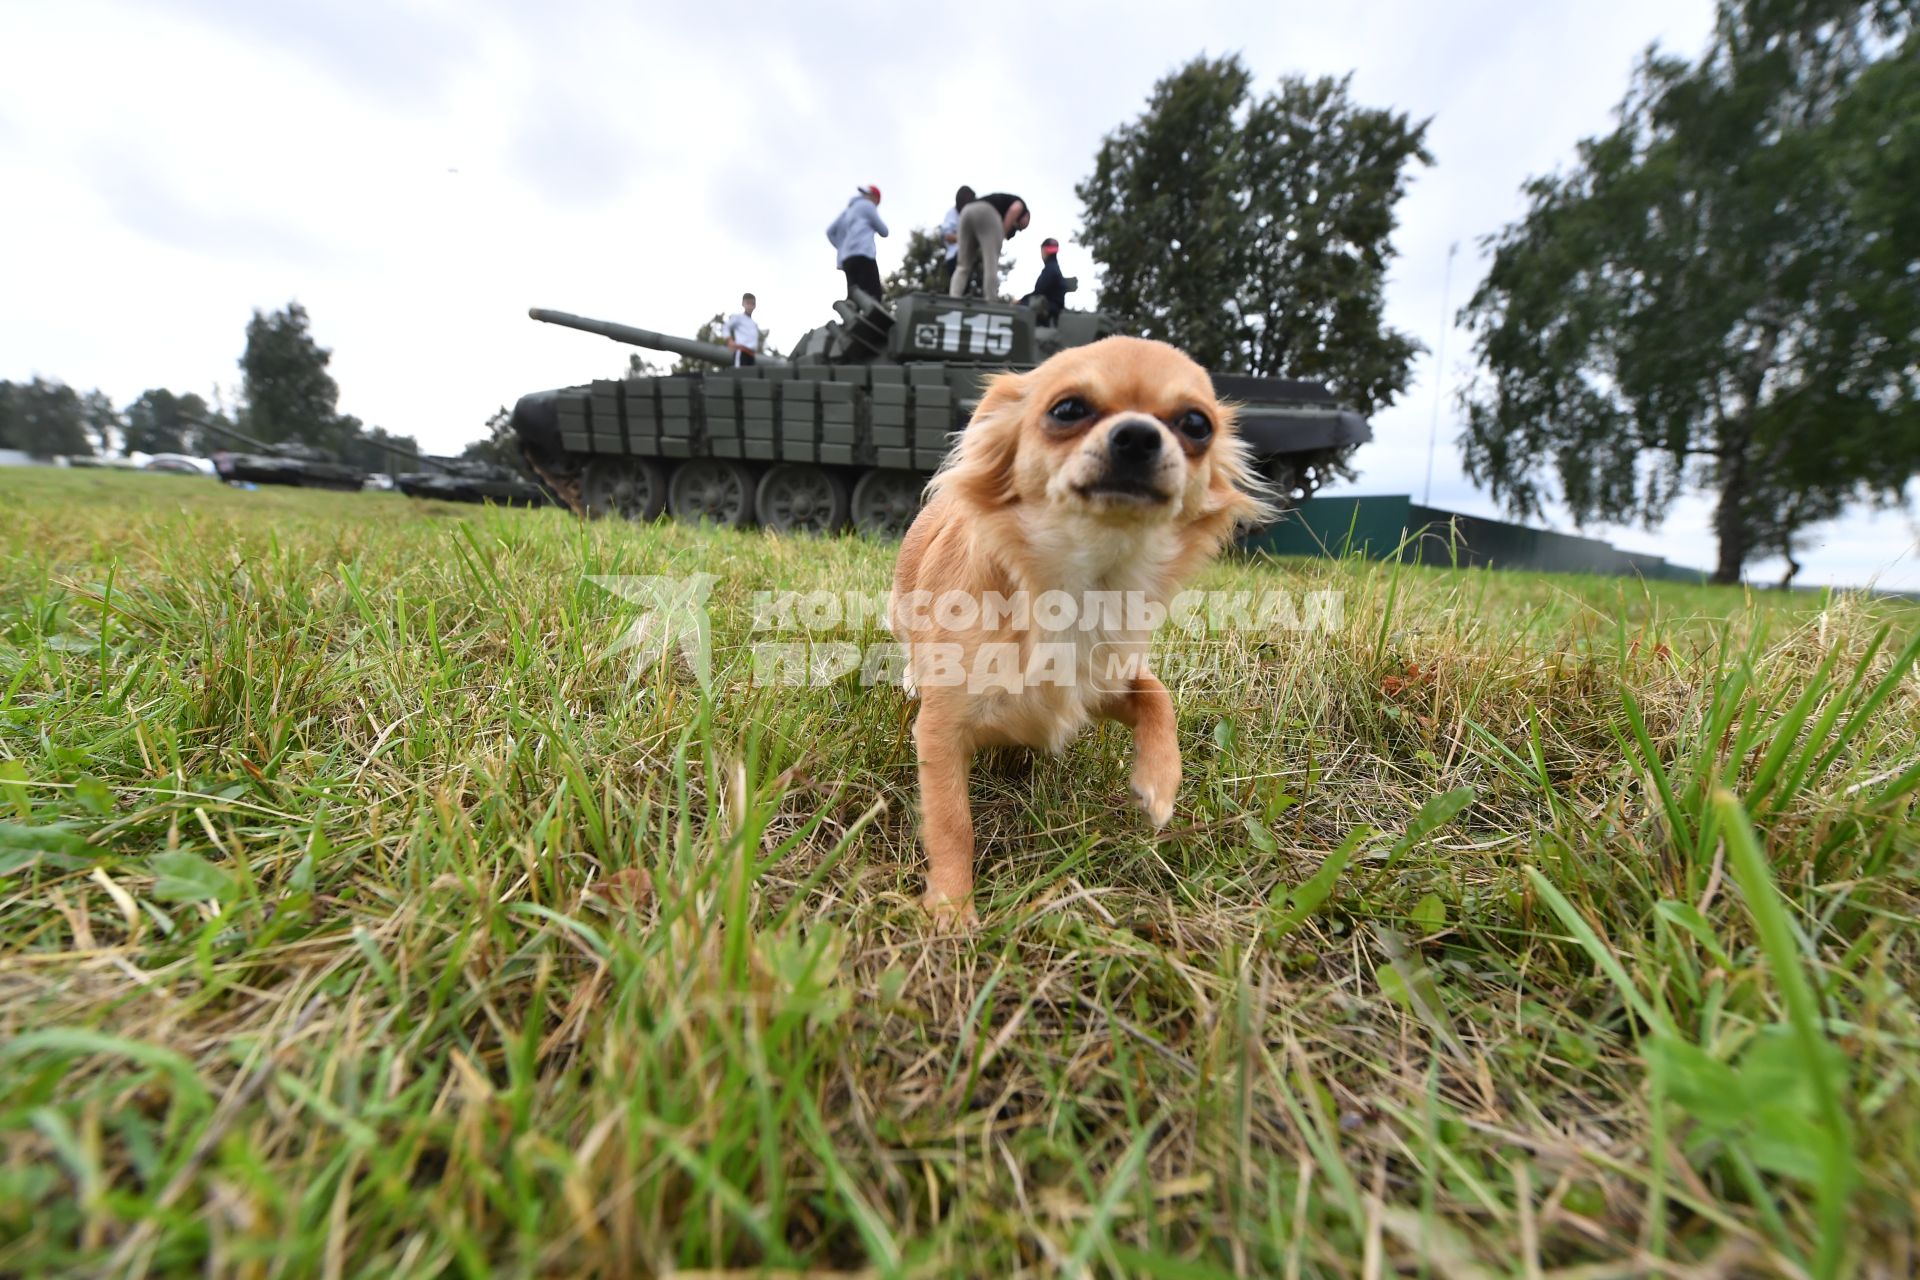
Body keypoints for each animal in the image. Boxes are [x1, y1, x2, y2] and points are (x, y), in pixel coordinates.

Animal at [887, 335, 1274, 917]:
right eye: (1067, 409)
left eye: (1196, 424)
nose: (1138, 435)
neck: (1083, 582)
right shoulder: (941, 729)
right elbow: (952, 821)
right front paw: (952, 910)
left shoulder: (1100, 684)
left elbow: (1158, 693)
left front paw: (1161, 780)